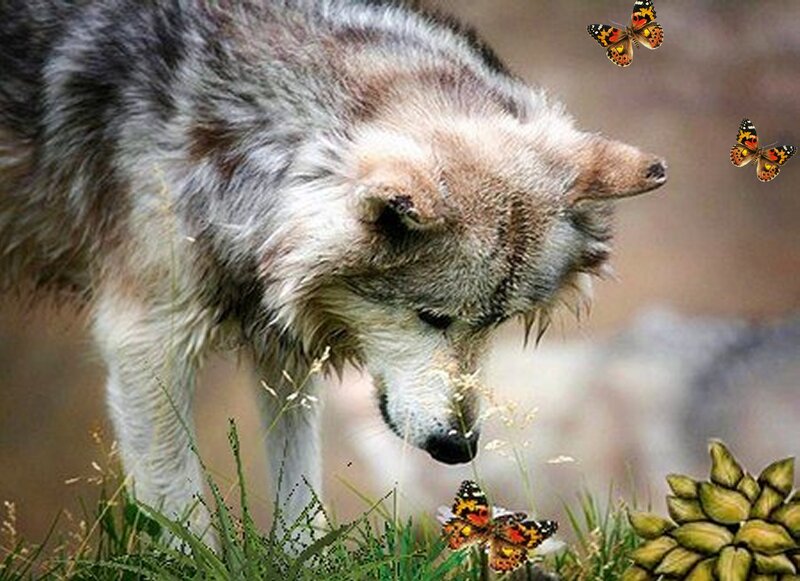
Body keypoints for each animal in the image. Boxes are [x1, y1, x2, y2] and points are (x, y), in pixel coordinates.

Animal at [0, 0, 666, 536]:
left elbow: (300, 494)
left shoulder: (283, 345)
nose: (459, 447)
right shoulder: (145, 340)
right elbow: (180, 508)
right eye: (432, 317)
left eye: (495, 322)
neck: (248, 144)